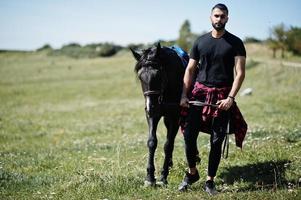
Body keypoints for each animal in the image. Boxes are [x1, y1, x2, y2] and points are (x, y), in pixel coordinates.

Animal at [130, 42, 186, 186]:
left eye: (158, 75)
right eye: (140, 77)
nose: (151, 106)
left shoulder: (175, 116)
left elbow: (168, 145)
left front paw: (163, 176)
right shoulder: (153, 116)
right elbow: (152, 142)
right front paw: (150, 177)